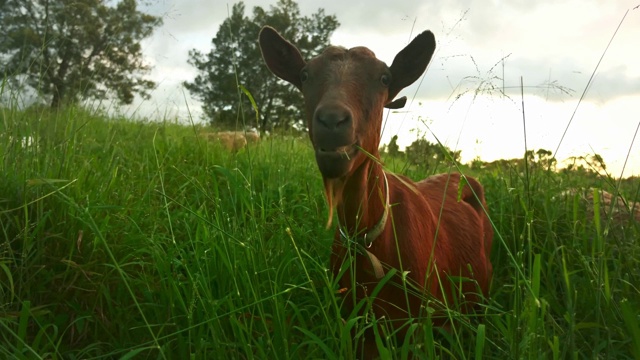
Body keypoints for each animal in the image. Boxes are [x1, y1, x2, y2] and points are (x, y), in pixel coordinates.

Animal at [260, 26, 496, 358]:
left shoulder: (418, 327)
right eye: (305, 75)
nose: (332, 121)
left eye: (384, 78)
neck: (368, 240)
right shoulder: (355, 325)